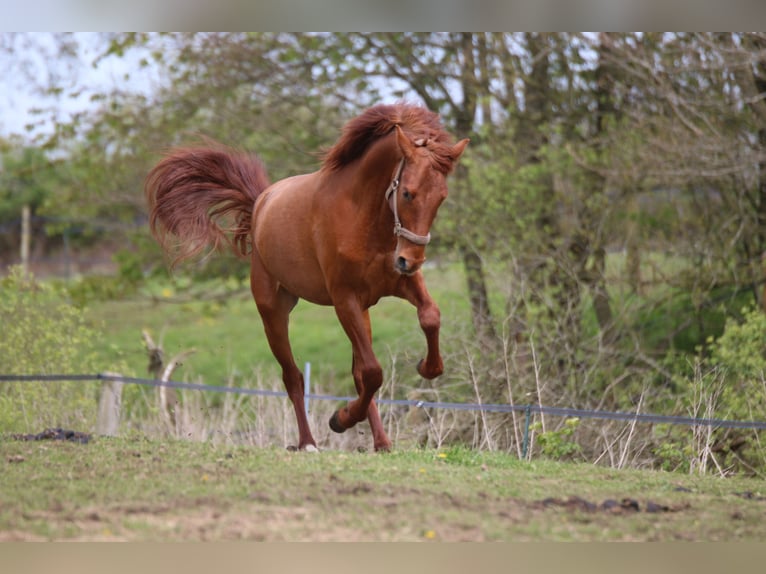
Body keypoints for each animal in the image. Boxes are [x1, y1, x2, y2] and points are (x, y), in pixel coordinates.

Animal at [143, 104, 468, 454]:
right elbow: (372, 372)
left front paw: (425, 366)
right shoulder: (344, 300)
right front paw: (340, 419)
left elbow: (429, 318)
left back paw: (381, 442)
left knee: (355, 373)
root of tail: (260, 204)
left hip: (363, 311)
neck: (363, 214)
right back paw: (309, 442)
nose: (411, 260)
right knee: (294, 377)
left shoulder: (399, 285)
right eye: (407, 193)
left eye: (442, 197)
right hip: (274, 313)